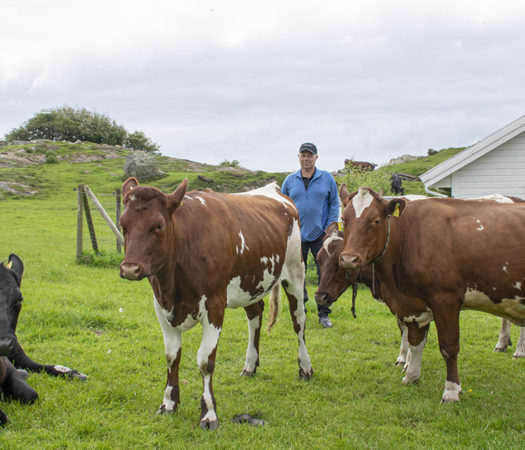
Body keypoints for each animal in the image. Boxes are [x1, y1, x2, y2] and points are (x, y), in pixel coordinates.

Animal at [118, 178, 312, 430]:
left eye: (158, 226)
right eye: (123, 225)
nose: (130, 269)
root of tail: (275, 189)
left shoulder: (215, 305)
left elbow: (205, 361)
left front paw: (209, 413)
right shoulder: (161, 306)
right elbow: (171, 356)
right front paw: (168, 403)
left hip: (296, 272)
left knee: (299, 321)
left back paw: (305, 367)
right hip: (252, 281)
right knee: (255, 316)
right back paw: (250, 366)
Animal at [338, 185, 525, 402]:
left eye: (376, 220)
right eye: (344, 219)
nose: (349, 258)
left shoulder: (446, 300)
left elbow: (449, 347)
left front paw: (451, 391)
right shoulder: (413, 303)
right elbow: (415, 342)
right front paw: (411, 376)